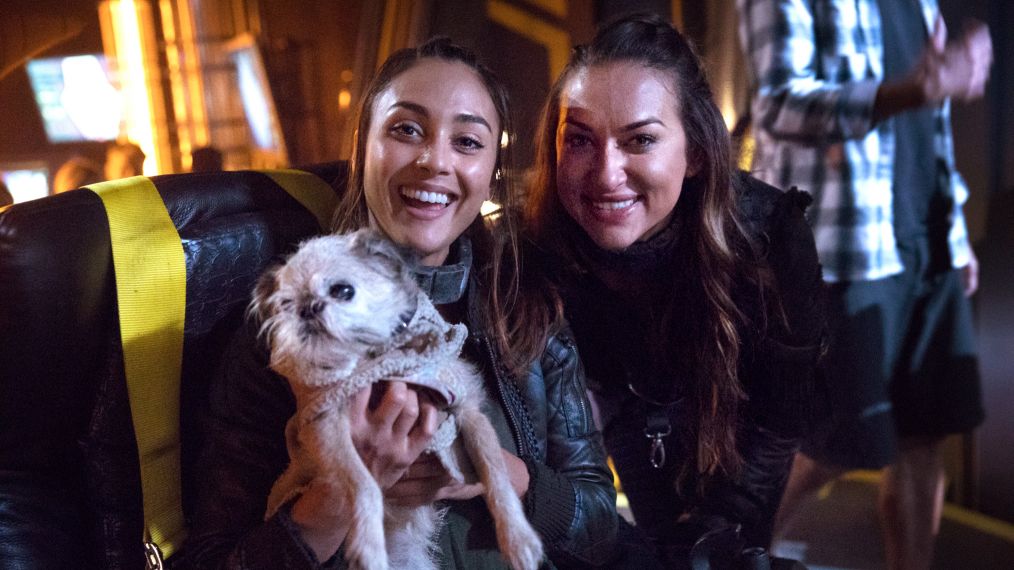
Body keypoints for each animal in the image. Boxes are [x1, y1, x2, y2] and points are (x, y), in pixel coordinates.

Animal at [250, 227, 543, 567]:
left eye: (342, 291)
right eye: (285, 304)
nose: (306, 308)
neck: (383, 358)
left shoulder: (468, 413)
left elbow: (497, 476)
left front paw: (518, 538)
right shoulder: (327, 425)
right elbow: (364, 485)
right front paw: (368, 544)